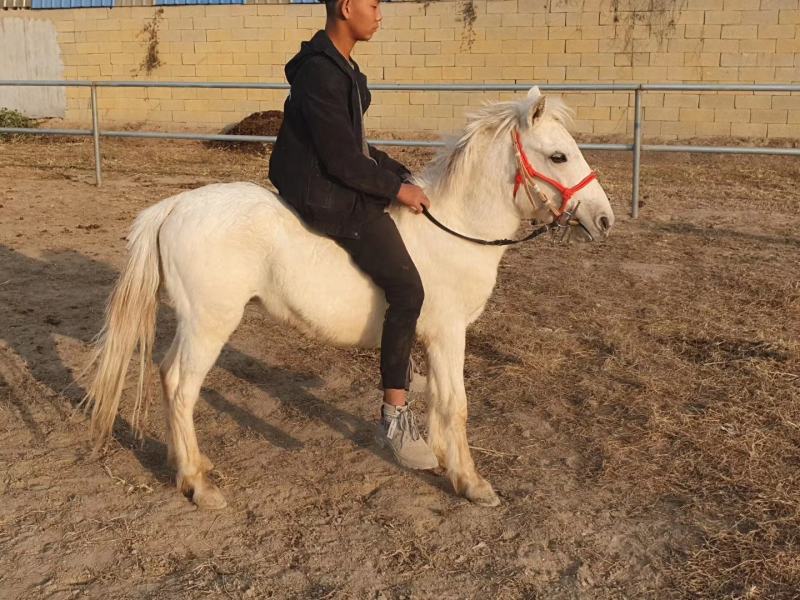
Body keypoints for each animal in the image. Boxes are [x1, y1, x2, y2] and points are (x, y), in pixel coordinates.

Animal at [82, 87, 615, 510]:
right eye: (559, 156)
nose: (605, 218)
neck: (455, 227)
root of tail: (173, 206)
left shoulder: (431, 338)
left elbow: (437, 400)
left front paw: (440, 457)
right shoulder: (447, 334)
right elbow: (455, 404)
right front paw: (471, 483)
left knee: (167, 376)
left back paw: (191, 464)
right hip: (210, 324)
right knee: (180, 385)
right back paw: (197, 485)